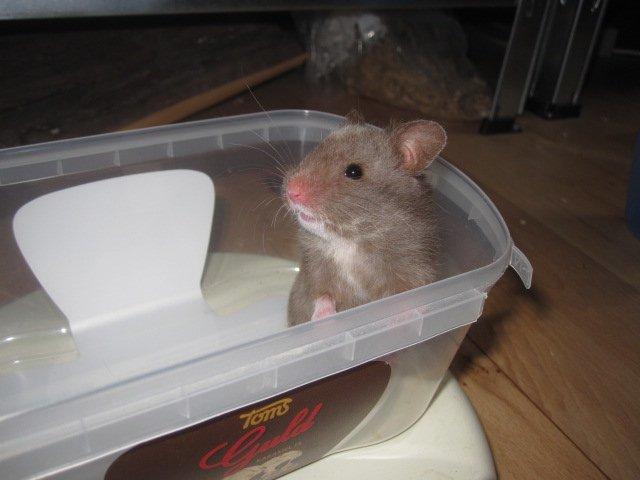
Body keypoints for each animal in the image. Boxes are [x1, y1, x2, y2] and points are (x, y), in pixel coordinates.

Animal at [283, 115, 447, 326]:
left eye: (354, 171)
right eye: (316, 149)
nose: (290, 191)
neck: (351, 239)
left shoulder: (415, 265)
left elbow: (406, 293)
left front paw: (403, 318)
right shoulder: (315, 267)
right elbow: (322, 293)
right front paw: (323, 320)